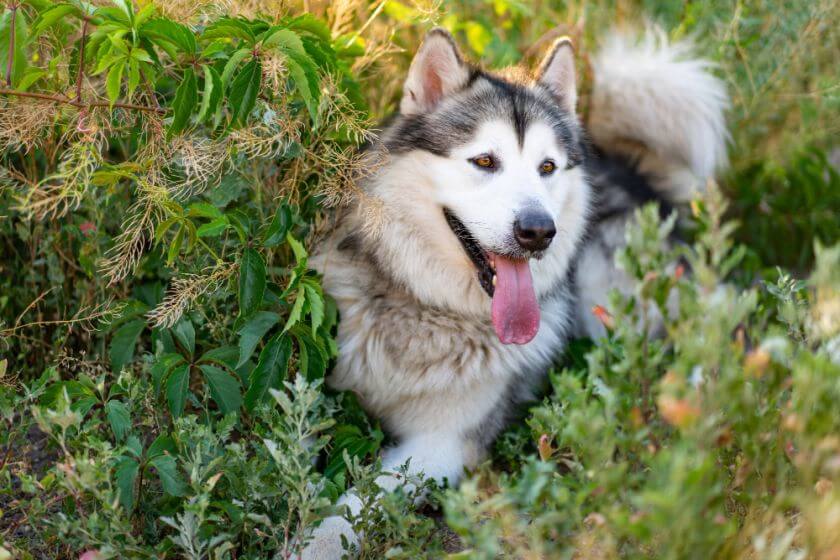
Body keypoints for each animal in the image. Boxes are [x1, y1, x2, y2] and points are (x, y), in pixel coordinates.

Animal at [304, 26, 728, 556]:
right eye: (485, 161)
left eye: (547, 167)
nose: (538, 231)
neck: (427, 308)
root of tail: (638, 177)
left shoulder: (444, 443)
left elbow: (360, 503)